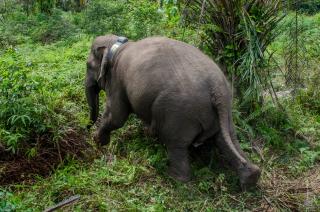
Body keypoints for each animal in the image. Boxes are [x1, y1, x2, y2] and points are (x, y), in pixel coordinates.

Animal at [85, 34, 260, 190]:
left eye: (87, 65)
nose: (86, 128)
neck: (119, 43)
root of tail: (217, 89)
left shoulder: (117, 80)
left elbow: (116, 116)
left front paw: (97, 141)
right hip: (224, 114)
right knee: (227, 139)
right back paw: (251, 178)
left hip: (179, 114)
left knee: (176, 144)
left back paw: (172, 177)